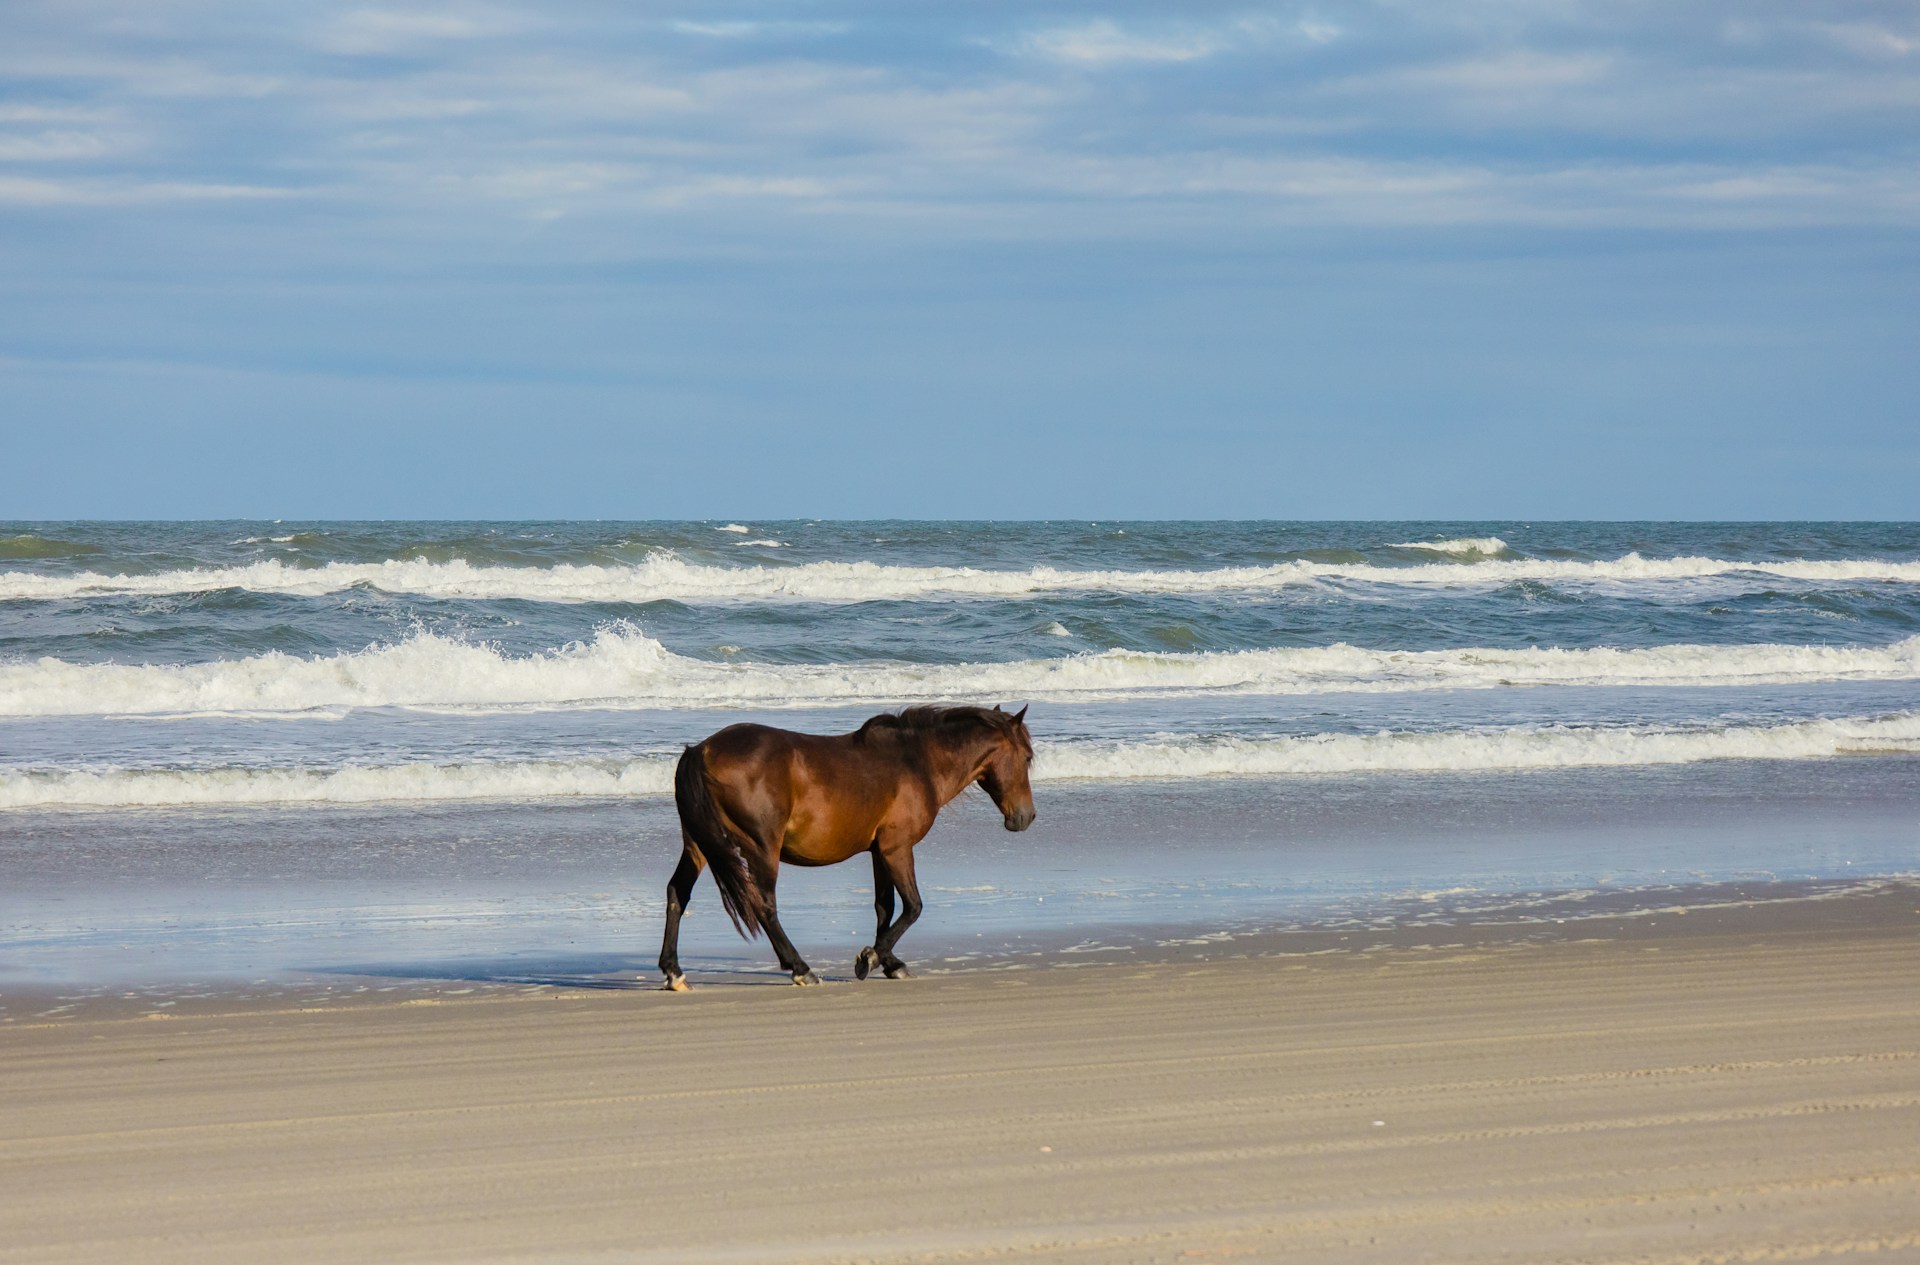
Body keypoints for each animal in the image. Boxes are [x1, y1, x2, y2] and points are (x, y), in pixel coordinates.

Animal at [657, 704, 1036, 990]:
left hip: (699, 844)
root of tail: (701, 751)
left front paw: (889, 962)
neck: (917, 762)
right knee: (764, 905)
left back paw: (674, 972)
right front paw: (870, 958)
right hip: (761, 847)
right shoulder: (897, 848)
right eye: (1028, 757)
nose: (1026, 817)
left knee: (677, 893)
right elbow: (912, 907)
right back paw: (801, 968)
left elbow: (884, 907)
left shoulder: (879, 852)